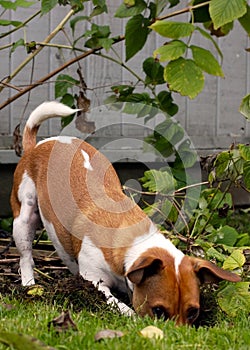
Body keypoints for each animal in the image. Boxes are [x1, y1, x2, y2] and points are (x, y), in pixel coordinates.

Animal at [10, 101, 241, 326]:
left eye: (193, 312)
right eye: (158, 311)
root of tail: (37, 145)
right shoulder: (95, 280)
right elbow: (114, 302)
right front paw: (129, 313)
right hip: (24, 218)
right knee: (25, 256)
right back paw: (29, 283)